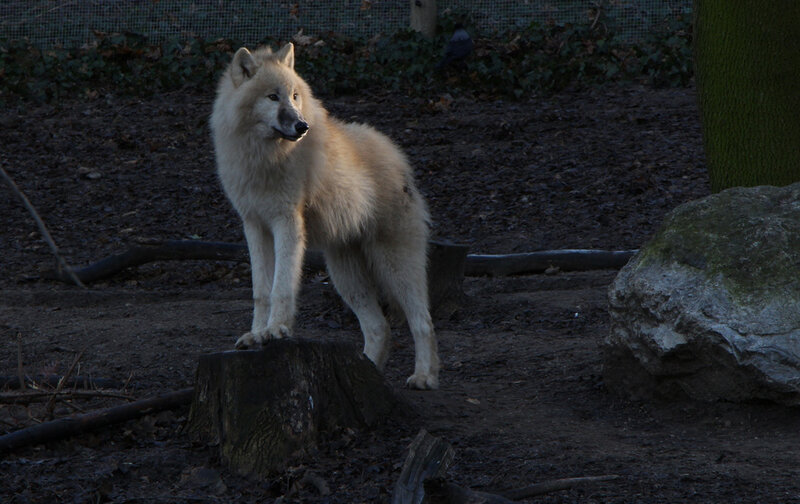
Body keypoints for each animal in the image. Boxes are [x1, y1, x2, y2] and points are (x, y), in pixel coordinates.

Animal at [210, 43, 440, 389]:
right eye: (272, 97)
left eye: (294, 96)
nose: (301, 126)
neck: (264, 157)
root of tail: (397, 157)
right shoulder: (254, 226)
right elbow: (261, 290)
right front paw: (256, 335)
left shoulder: (286, 223)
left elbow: (281, 286)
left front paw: (276, 330)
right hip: (346, 276)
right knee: (380, 327)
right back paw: (367, 374)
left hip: (395, 266)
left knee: (423, 322)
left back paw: (424, 377)